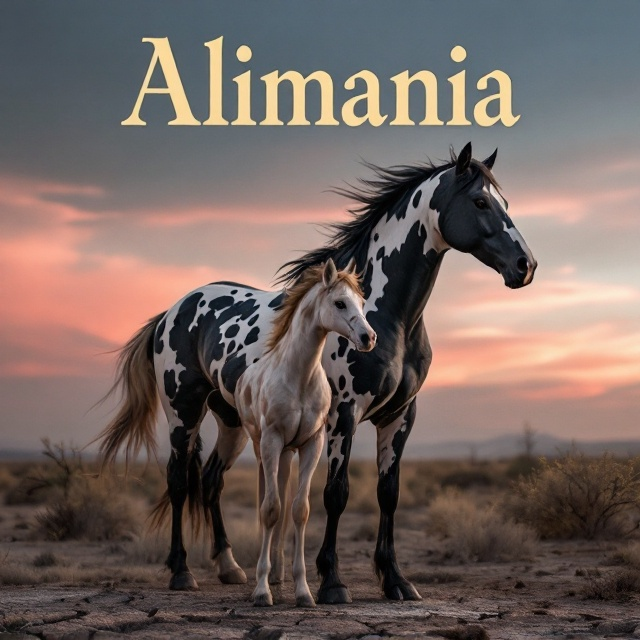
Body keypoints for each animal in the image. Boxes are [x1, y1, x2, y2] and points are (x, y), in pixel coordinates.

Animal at [235, 258, 376, 608]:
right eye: (339, 303)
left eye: (362, 302)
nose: (368, 337)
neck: (298, 376)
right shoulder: (272, 441)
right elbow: (270, 509)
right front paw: (262, 591)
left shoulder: (313, 444)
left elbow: (299, 511)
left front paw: (303, 592)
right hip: (262, 448)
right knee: (266, 501)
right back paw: (265, 576)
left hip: (287, 453)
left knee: (283, 502)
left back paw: (278, 573)